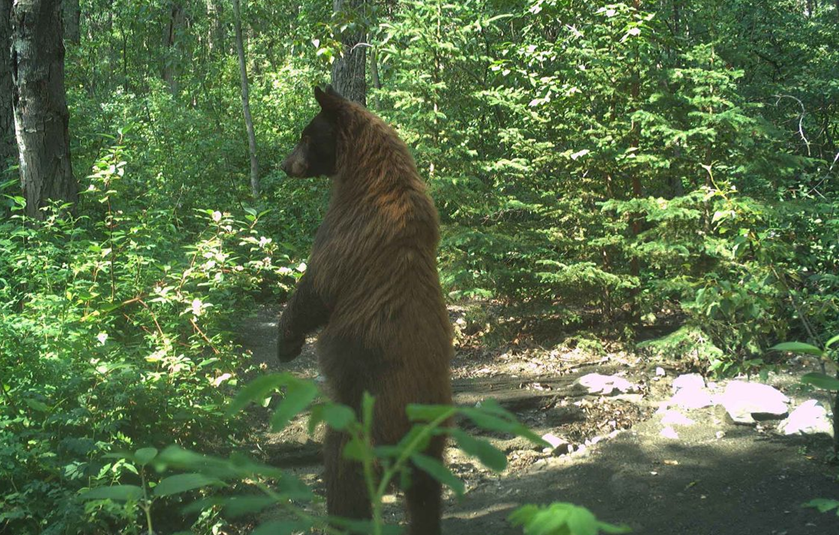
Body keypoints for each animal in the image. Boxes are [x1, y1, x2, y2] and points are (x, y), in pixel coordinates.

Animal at [277, 85, 453, 535]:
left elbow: (316, 286)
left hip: (358, 418)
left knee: (345, 472)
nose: (286, 164)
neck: (367, 173)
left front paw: (286, 341)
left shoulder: (346, 231)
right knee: (425, 495)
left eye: (306, 135)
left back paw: (340, 517)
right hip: (432, 444)